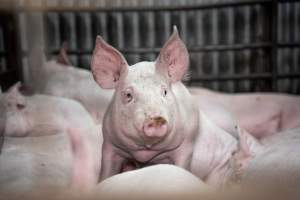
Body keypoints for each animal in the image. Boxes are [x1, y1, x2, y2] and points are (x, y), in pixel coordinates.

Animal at [90, 25, 238, 184]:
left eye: (165, 91)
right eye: (128, 95)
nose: (156, 119)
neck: (145, 153)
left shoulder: (187, 143)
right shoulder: (109, 143)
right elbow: (106, 171)